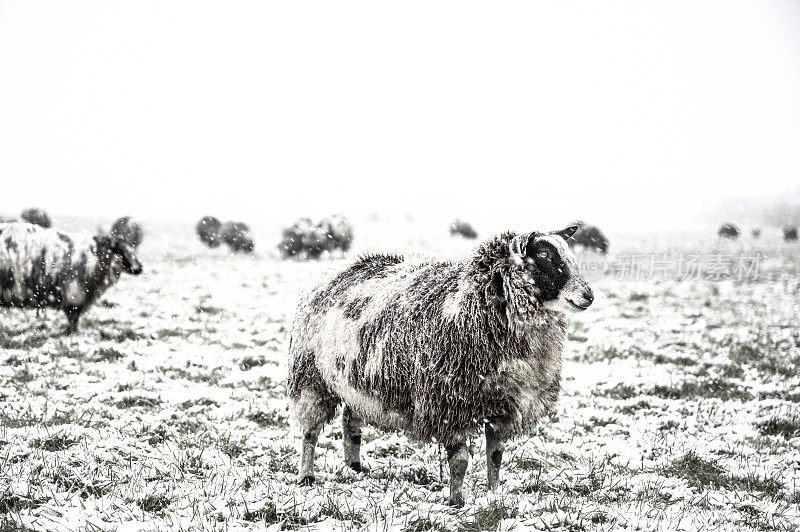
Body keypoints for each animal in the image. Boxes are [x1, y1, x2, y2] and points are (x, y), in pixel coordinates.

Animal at [0, 221, 142, 332]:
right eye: (121, 251)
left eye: (133, 250)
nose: (139, 268)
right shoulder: (75, 293)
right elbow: (73, 317)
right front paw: (73, 334)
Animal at [288, 224, 592, 508]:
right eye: (543, 255)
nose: (588, 295)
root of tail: (341, 266)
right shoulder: (450, 405)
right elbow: (460, 461)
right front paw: (456, 501)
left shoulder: (500, 406)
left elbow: (495, 456)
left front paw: (494, 495)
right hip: (311, 378)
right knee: (310, 432)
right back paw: (306, 476)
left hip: (357, 378)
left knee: (350, 419)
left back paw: (355, 467)